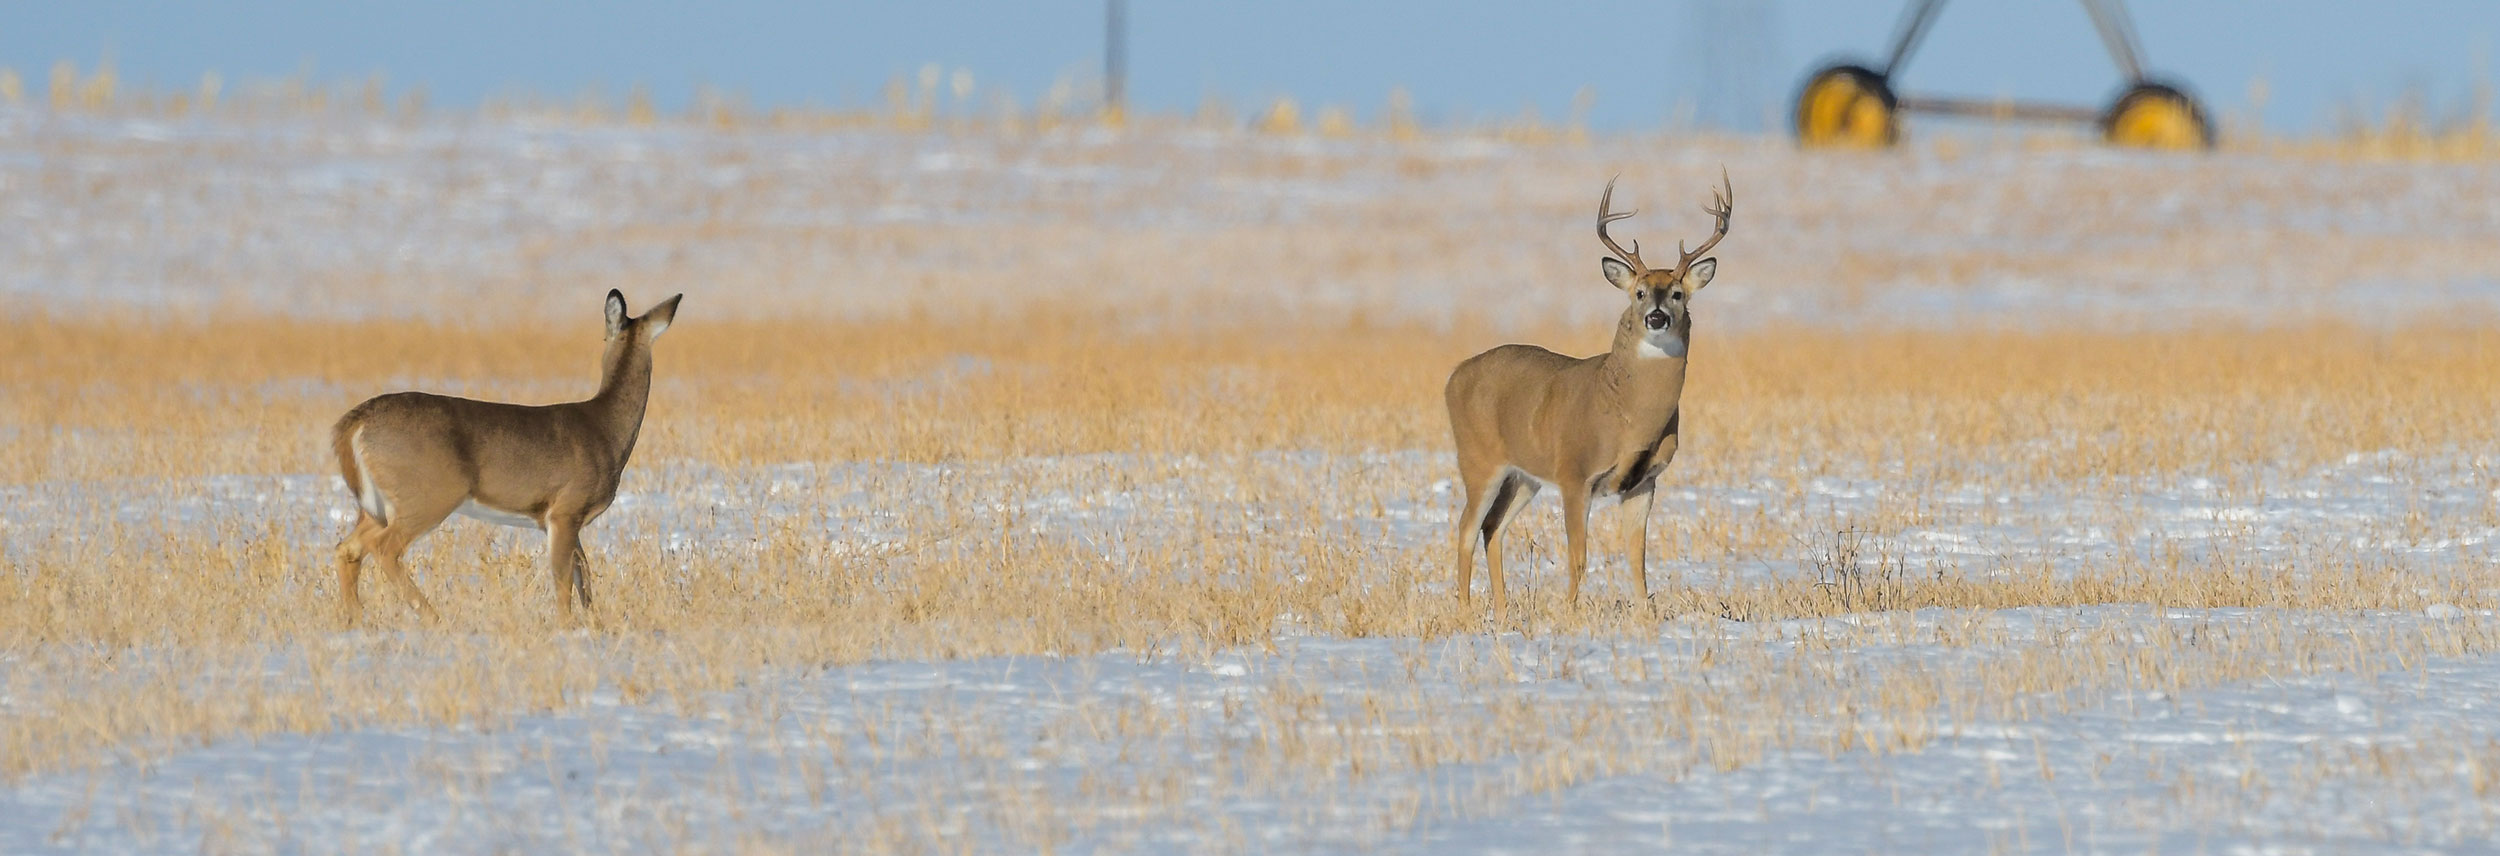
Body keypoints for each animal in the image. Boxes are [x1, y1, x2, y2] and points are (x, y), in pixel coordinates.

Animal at [332, 287, 690, 620]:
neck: (604, 428)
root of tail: (353, 422)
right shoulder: (565, 509)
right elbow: (564, 580)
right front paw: (566, 627)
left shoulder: (567, 520)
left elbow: (584, 578)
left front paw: (594, 624)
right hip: (427, 494)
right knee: (384, 548)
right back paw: (433, 617)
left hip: (379, 505)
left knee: (347, 548)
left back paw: (357, 618)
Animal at [1440, 173, 1730, 625]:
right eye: (1640, 292)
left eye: (1678, 293)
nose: (1657, 317)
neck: (1626, 414)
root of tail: (1454, 376)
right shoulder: (1574, 473)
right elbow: (1579, 556)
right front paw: (1570, 615)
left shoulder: (1644, 482)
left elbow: (1637, 559)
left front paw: (1645, 618)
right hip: (1479, 459)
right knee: (1467, 528)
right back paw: (1468, 613)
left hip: (1522, 475)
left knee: (1493, 528)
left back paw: (1503, 612)